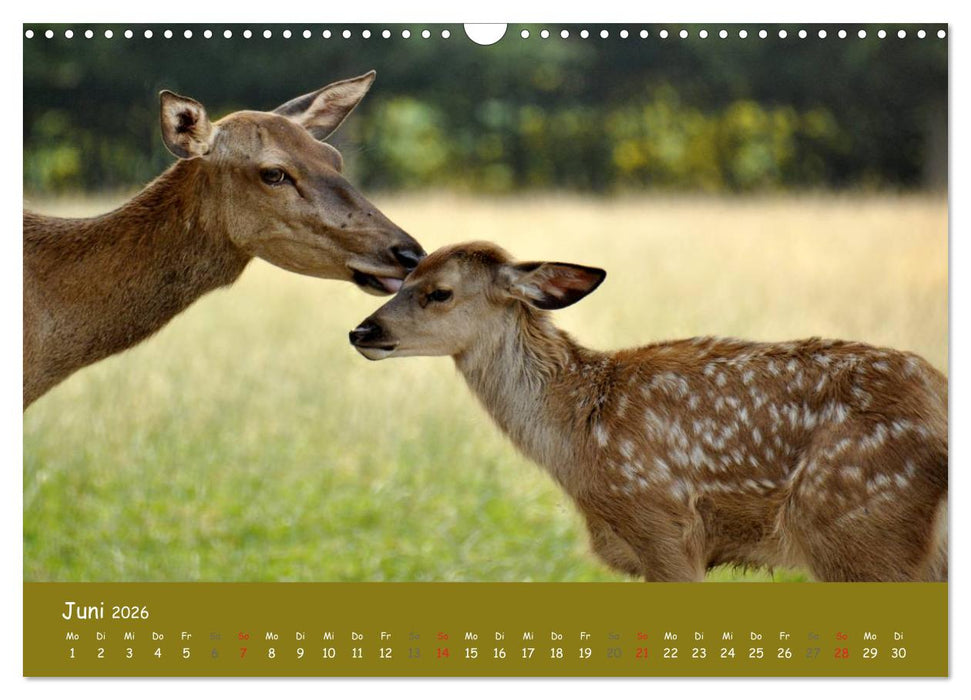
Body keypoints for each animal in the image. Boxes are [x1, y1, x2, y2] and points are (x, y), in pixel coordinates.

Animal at [349, 242, 948, 582]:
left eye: (440, 292)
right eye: (401, 282)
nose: (362, 331)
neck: (576, 434)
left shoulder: (662, 523)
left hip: (859, 526)